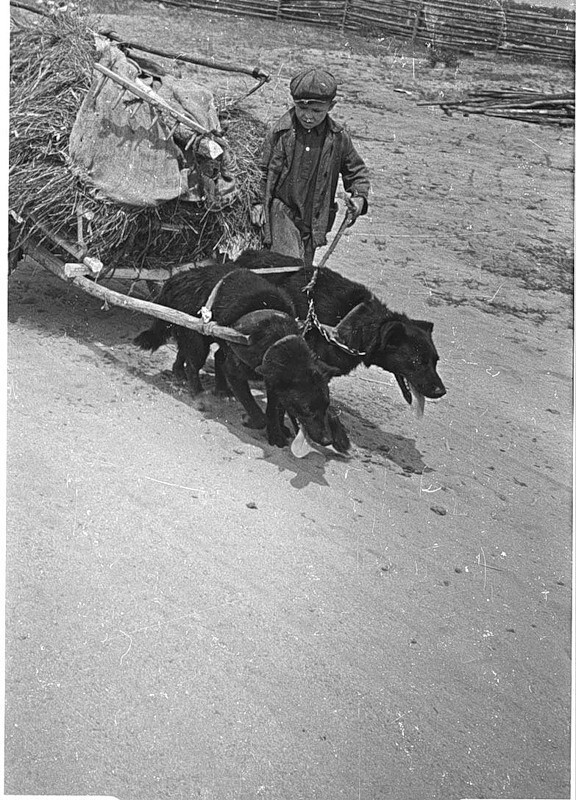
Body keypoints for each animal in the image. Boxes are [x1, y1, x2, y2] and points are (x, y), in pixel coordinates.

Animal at [134, 266, 348, 446]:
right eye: (306, 409)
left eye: (327, 405)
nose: (328, 440)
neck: (275, 337)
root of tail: (180, 278)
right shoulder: (236, 373)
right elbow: (259, 414)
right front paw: (252, 421)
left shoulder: (273, 382)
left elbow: (274, 410)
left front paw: (277, 433)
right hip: (198, 340)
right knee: (194, 365)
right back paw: (198, 393)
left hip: (199, 336)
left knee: (197, 354)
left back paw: (199, 380)